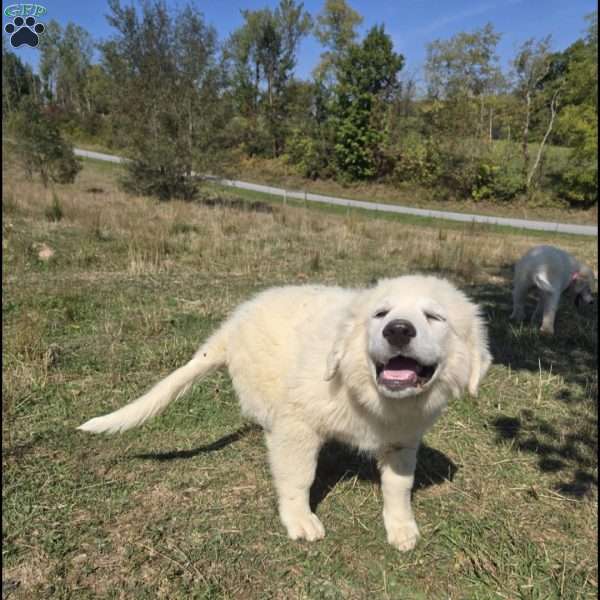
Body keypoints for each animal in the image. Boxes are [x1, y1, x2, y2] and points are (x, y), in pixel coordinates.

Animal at [78, 274, 492, 552]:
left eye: (434, 318)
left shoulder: (403, 440)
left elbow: (398, 485)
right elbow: (298, 477)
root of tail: (233, 324)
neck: (369, 394)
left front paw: (401, 526)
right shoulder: (297, 425)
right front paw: (299, 520)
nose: (399, 330)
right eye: (381, 314)